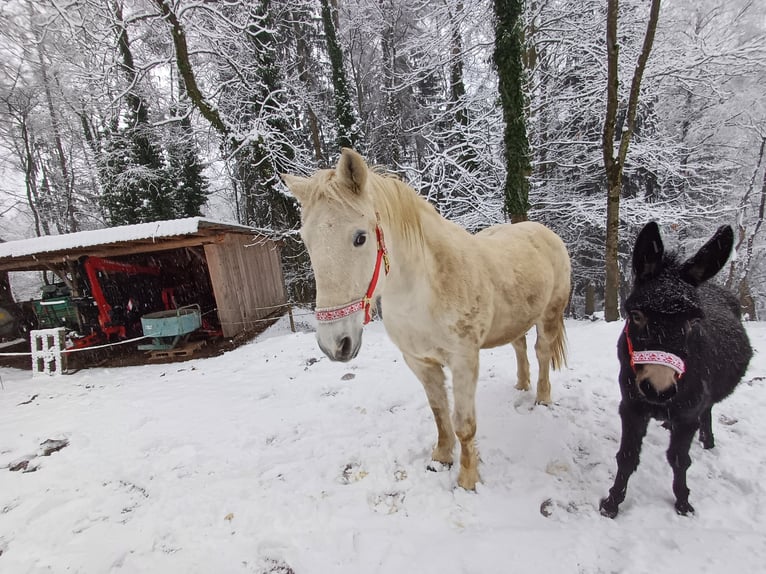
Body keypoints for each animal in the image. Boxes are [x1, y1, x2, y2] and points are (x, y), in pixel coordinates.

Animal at [282, 148, 571, 490]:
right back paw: (521, 385)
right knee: (520, 348)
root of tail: (544, 232)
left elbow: (464, 424)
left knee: (542, 353)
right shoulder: (419, 361)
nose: (334, 344)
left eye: (360, 238)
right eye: (306, 240)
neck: (423, 291)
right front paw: (441, 459)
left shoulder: (463, 361)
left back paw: (541, 399)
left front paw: (468, 480)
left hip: (549, 316)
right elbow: (439, 413)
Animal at [599, 221, 752, 518]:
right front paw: (612, 503)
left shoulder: (688, 414)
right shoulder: (632, 405)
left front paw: (683, 502)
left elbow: (680, 459)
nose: (659, 389)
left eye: (693, 321)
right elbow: (627, 457)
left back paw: (707, 440)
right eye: (636, 315)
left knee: (707, 412)